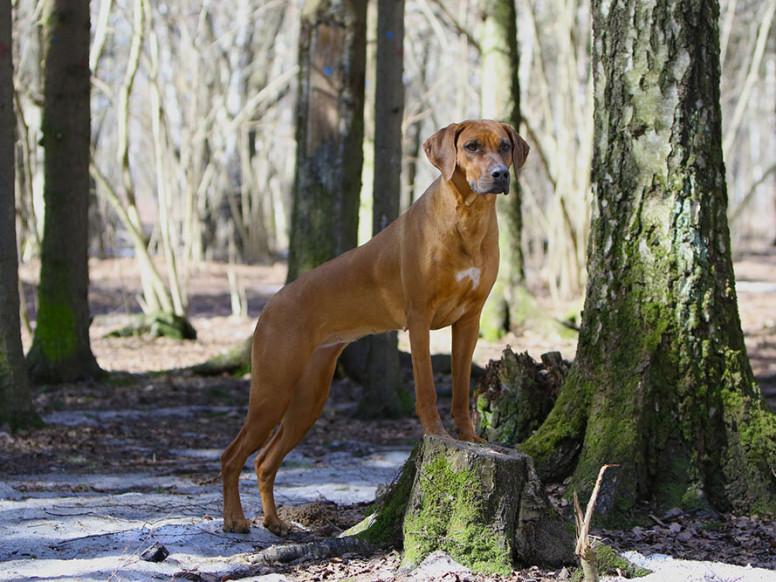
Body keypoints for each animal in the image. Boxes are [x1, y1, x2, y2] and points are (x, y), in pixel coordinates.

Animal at [221, 121, 532, 536]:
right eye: (471, 147)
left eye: (504, 146)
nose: (500, 174)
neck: (466, 218)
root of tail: (271, 304)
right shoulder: (419, 319)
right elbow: (427, 388)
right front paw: (436, 434)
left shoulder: (470, 320)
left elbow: (461, 388)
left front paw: (468, 437)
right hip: (273, 389)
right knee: (232, 454)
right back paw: (235, 519)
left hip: (309, 398)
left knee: (264, 460)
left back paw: (274, 521)